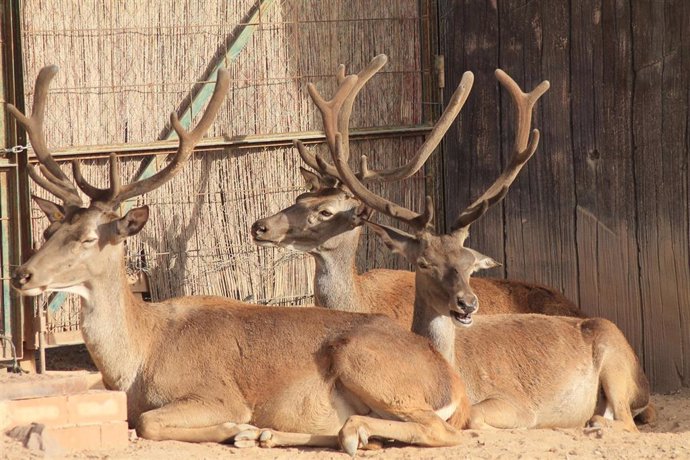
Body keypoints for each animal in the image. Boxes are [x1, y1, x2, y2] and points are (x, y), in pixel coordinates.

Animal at [10, 64, 472, 456]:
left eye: (88, 237)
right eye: (49, 232)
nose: (21, 274)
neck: (136, 364)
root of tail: (451, 380)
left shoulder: (215, 392)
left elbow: (147, 422)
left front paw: (235, 427)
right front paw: (247, 431)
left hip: (368, 363)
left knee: (438, 430)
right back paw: (285, 434)